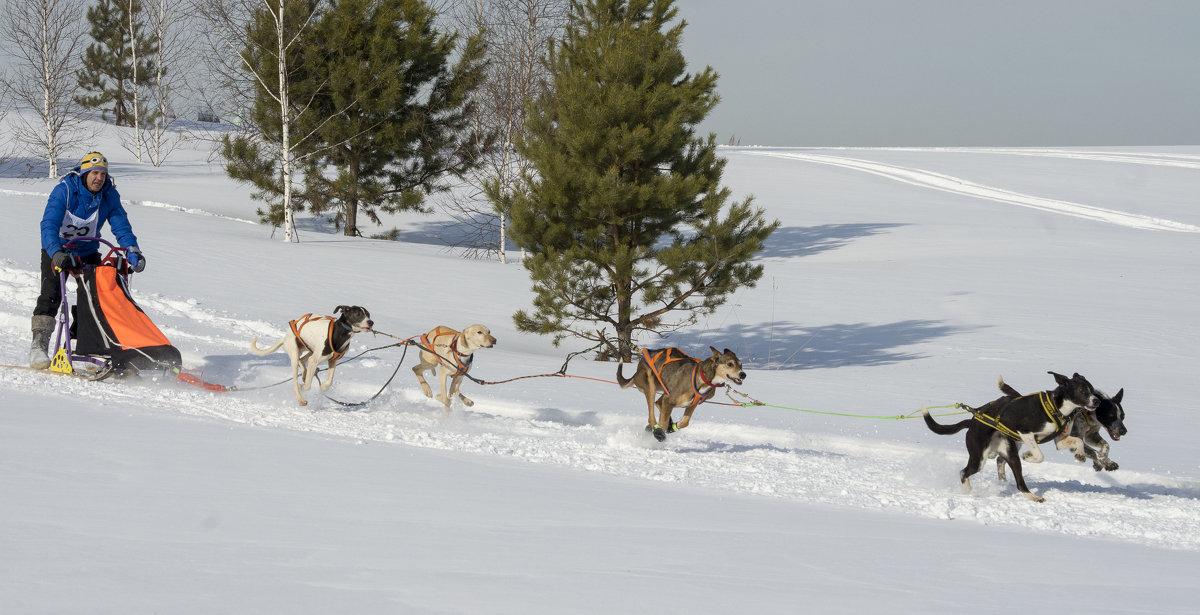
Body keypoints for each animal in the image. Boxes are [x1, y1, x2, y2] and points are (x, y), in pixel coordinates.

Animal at [921, 372, 1099, 502]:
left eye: (1092, 389)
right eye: (1082, 391)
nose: (1097, 401)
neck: (1056, 406)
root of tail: (973, 420)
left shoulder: (1060, 440)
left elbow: (1078, 441)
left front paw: (1080, 454)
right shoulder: (1025, 432)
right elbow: (1039, 455)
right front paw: (1029, 456)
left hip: (1009, 454)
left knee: (1012, 474)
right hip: (979, 459)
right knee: (963, 472)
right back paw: (970, 492)